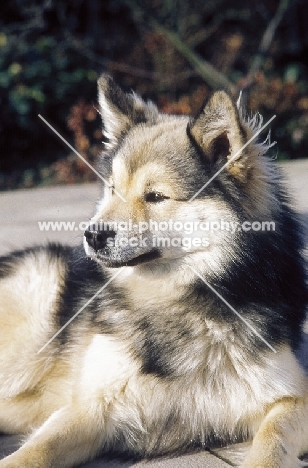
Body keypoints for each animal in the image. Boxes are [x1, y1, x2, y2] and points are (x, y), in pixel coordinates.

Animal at [0, 75, 306, 466]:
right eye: (112, 189)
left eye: (156, 196)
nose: (93, 235)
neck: (173, 303)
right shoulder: (90, 406)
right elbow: (35, 450)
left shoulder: (290, 398)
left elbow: (272, 441)